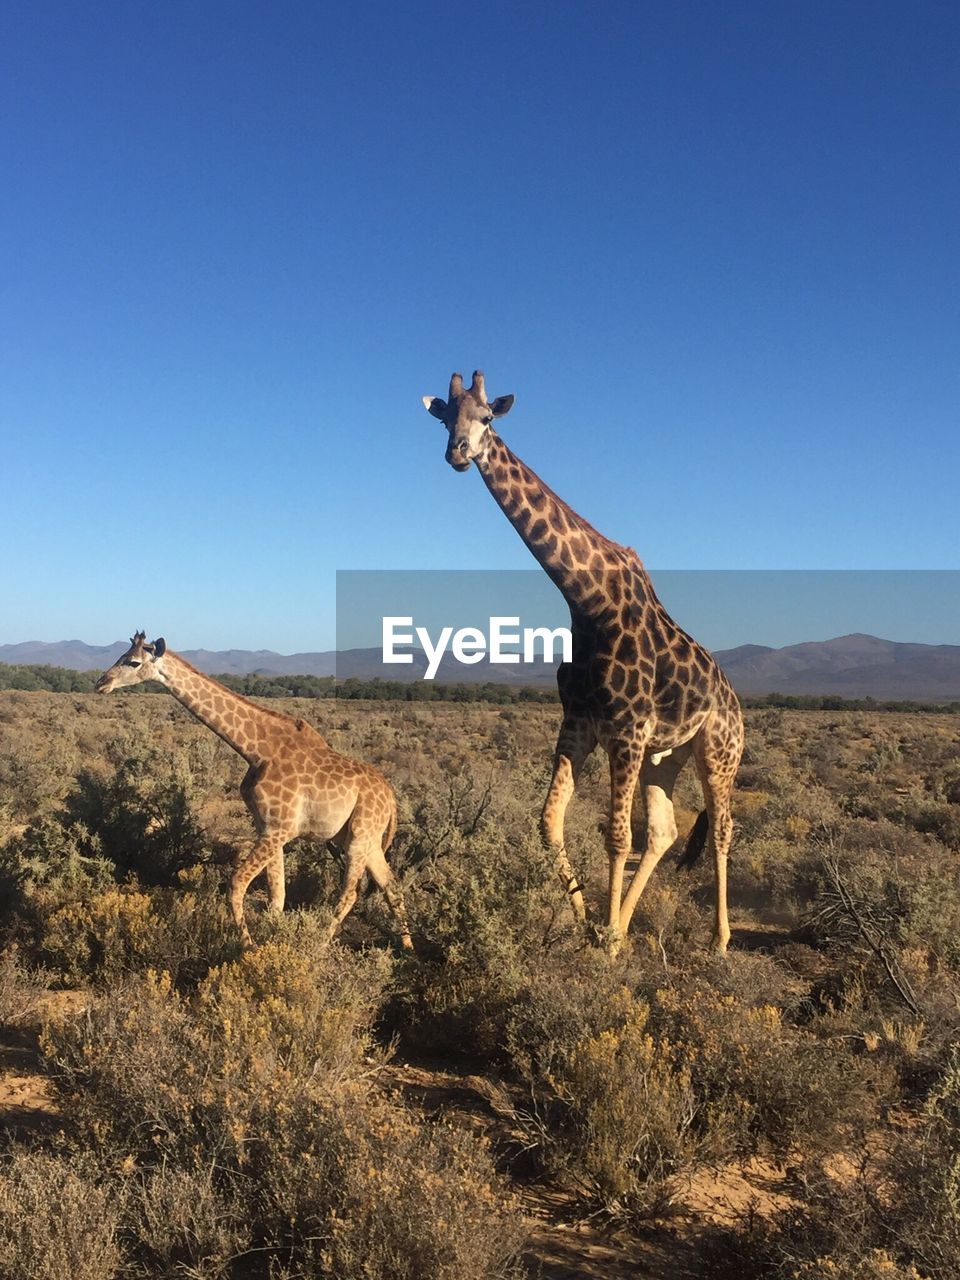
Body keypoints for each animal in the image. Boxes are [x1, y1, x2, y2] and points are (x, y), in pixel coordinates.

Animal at [94, 632, 414, 952]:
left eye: (133, 662)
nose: (101, 683)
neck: (256, 750)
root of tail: (391, 798)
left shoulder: (279, 828)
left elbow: (237, 884)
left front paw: (249, 947)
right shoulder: (266, 826)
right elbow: (277, 894)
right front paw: (272, 940)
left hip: (359, 836)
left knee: (351, 892)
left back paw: (319, 945)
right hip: (364, 839)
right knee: (390, 884)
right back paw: (407, 947)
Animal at [424, 371, 747, 952]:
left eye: (488, 417)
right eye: (444, 419)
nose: (458, 452)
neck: (587, 600)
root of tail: (736, 700)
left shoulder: (627, 727)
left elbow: (616, 836)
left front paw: (609, 945)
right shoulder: (579, 722)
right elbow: (550, 820)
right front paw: (586, 925)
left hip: (718, 750)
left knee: (721, 829)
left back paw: (717, 939)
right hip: (667, 756)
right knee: (664, 830)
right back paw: (625, 923)